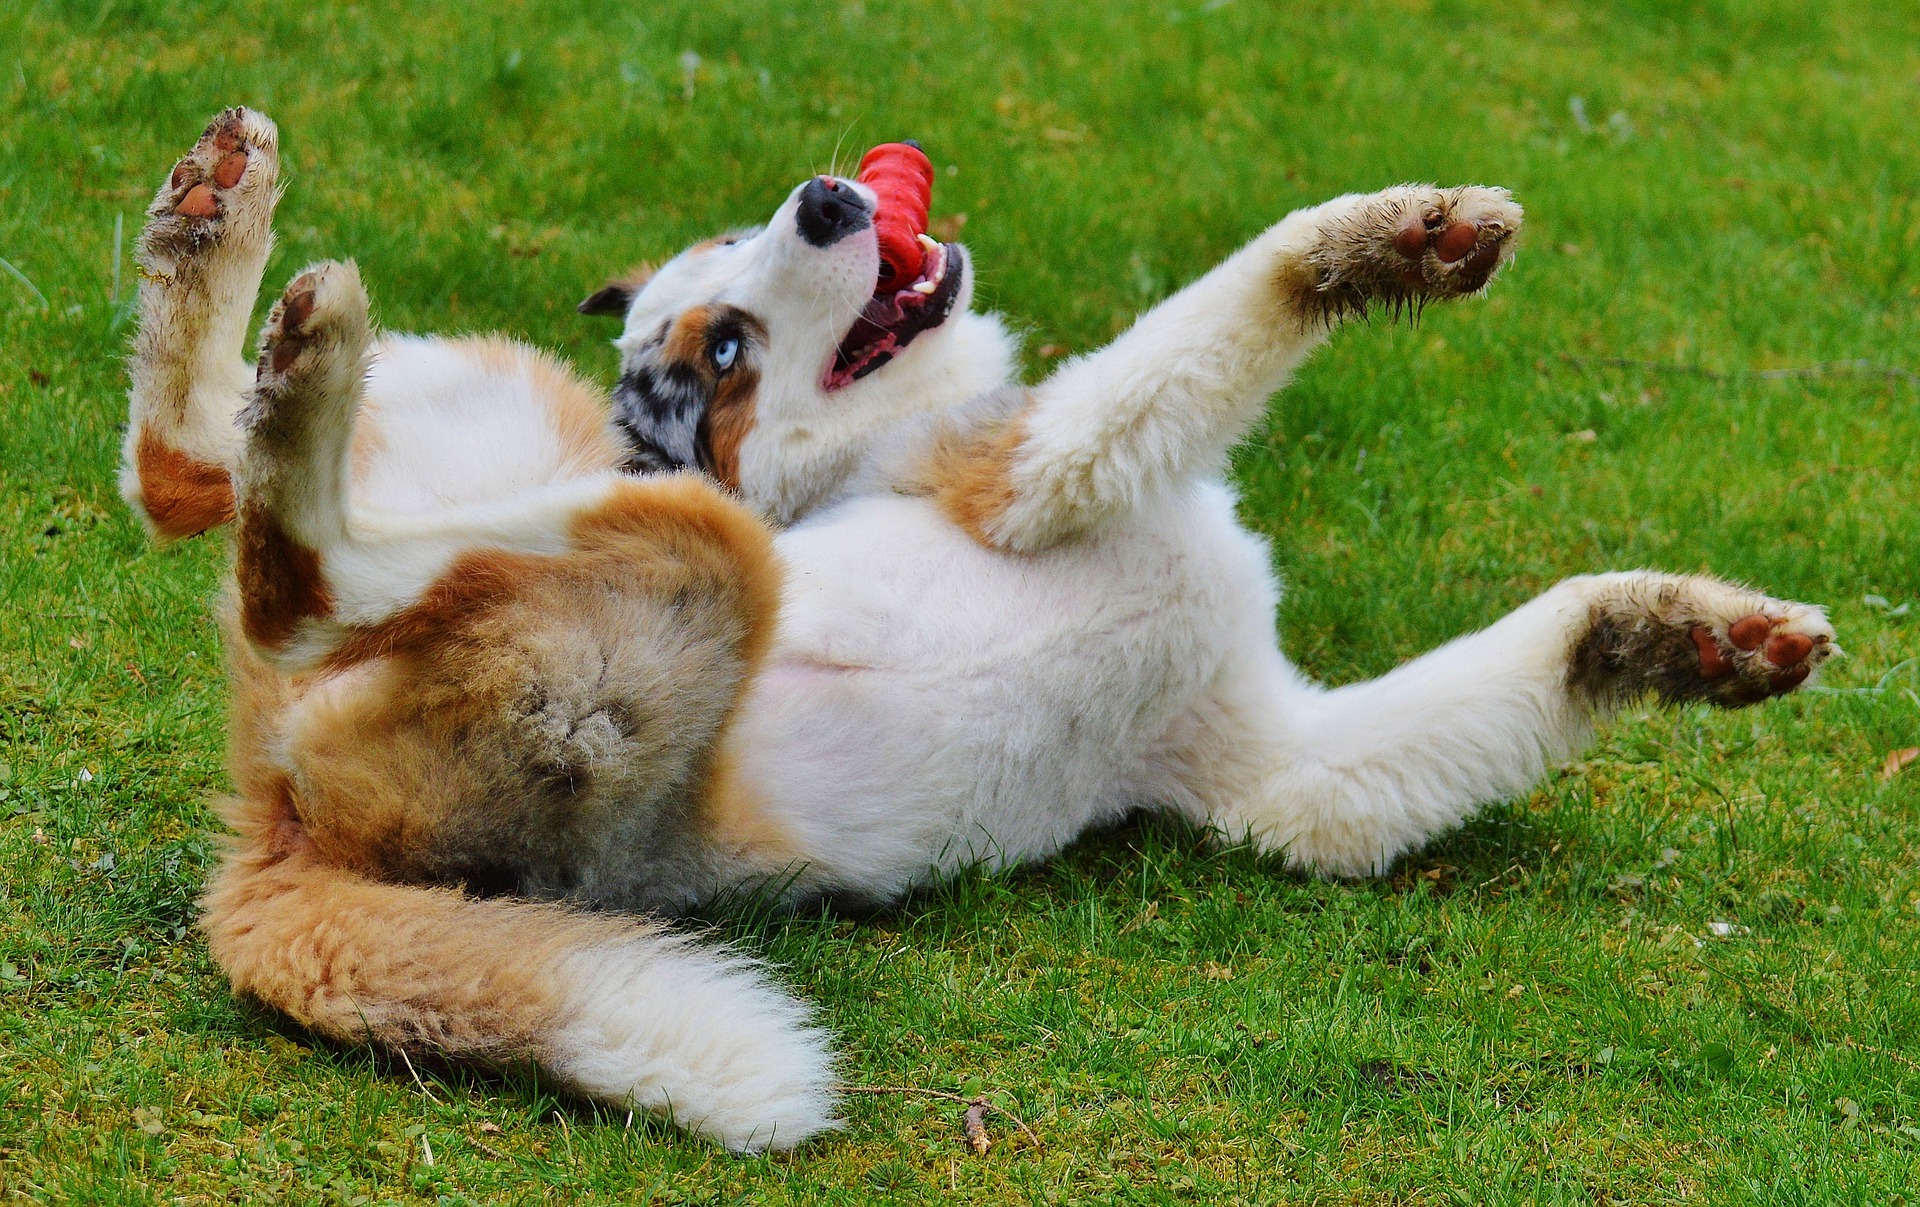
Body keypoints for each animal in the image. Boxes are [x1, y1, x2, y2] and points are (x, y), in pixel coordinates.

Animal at [127, 110, 1835, 1151]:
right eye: (725, 350)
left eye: (737, 250)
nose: (831, 196)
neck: (871, 437)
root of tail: (268, 822)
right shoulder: (1038, 473)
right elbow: (1226, 311)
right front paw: (1386, 243)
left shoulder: (1285, 773)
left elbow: (1494, 688)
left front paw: (1678, 639)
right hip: (687, 551)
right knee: (277, 558)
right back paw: (283, 324)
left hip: (510, 419)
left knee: (197, 476)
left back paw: (219, 234)